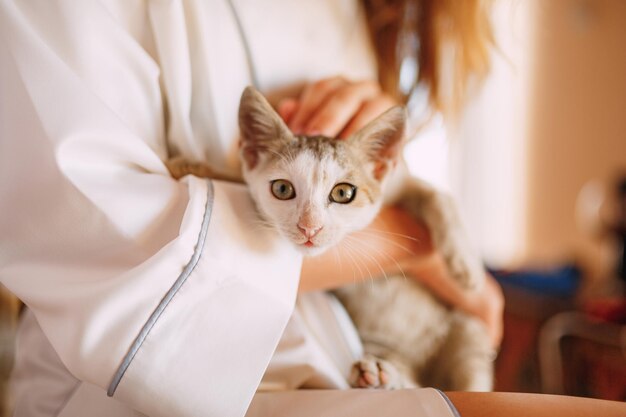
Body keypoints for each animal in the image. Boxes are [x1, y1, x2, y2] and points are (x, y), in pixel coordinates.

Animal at [167, 86, 492, 392]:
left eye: (343, 192)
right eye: (282, 189)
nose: (309, 228)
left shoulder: (400, 183)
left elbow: (438, 196)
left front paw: (466, 266)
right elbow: (234, 178)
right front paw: (189, 166)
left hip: (468, 334)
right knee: (415, 381)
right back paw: (381, 374)